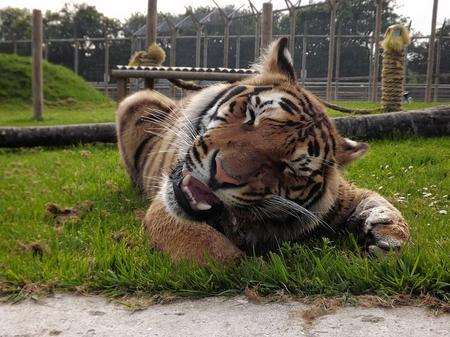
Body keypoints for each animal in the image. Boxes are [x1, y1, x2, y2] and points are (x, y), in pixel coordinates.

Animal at [115, 36, 408, 262]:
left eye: (289, 167)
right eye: (251, 114)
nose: (220, 175)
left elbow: (383, 202)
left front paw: (390, 236)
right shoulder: (165, 207)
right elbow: (209, 249)